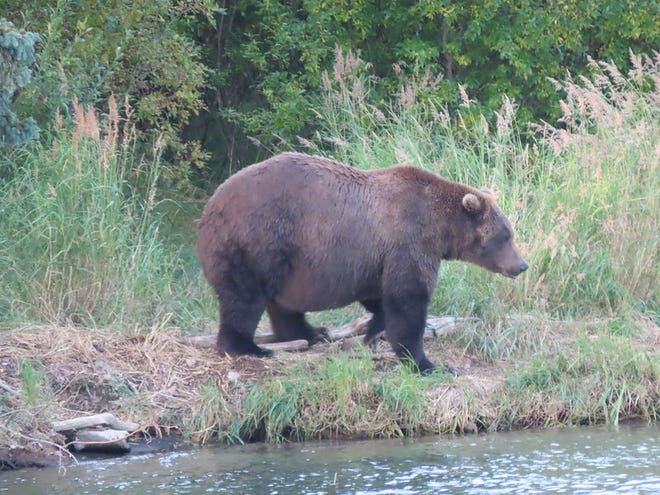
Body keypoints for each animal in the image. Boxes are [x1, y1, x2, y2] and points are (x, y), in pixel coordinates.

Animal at [196, 152, 528, 373]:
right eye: (505, 235)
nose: (521, 265)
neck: (440, 229)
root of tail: (209, 207)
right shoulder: (409, 242)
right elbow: (408, 299)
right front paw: (427, 362)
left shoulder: (376, 258)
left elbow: (380, 296)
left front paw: (372, 330)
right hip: (255, 241)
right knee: (244, 298)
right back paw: (250, 347)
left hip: (285, 261)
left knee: (282, 303)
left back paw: (311, 333)